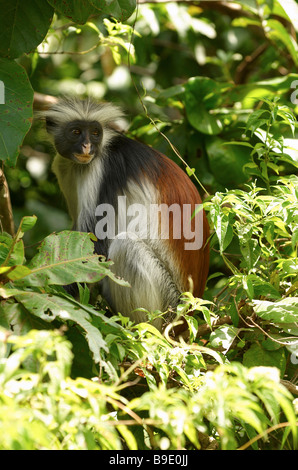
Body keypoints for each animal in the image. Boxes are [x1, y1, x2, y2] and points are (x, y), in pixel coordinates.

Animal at [43, 97, 210, 328]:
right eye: (76, 132)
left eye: (95, 133)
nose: (87, 146)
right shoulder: (63, 166)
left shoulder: (102, 169)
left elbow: (95, 249)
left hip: (167, 304)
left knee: (127, 245)